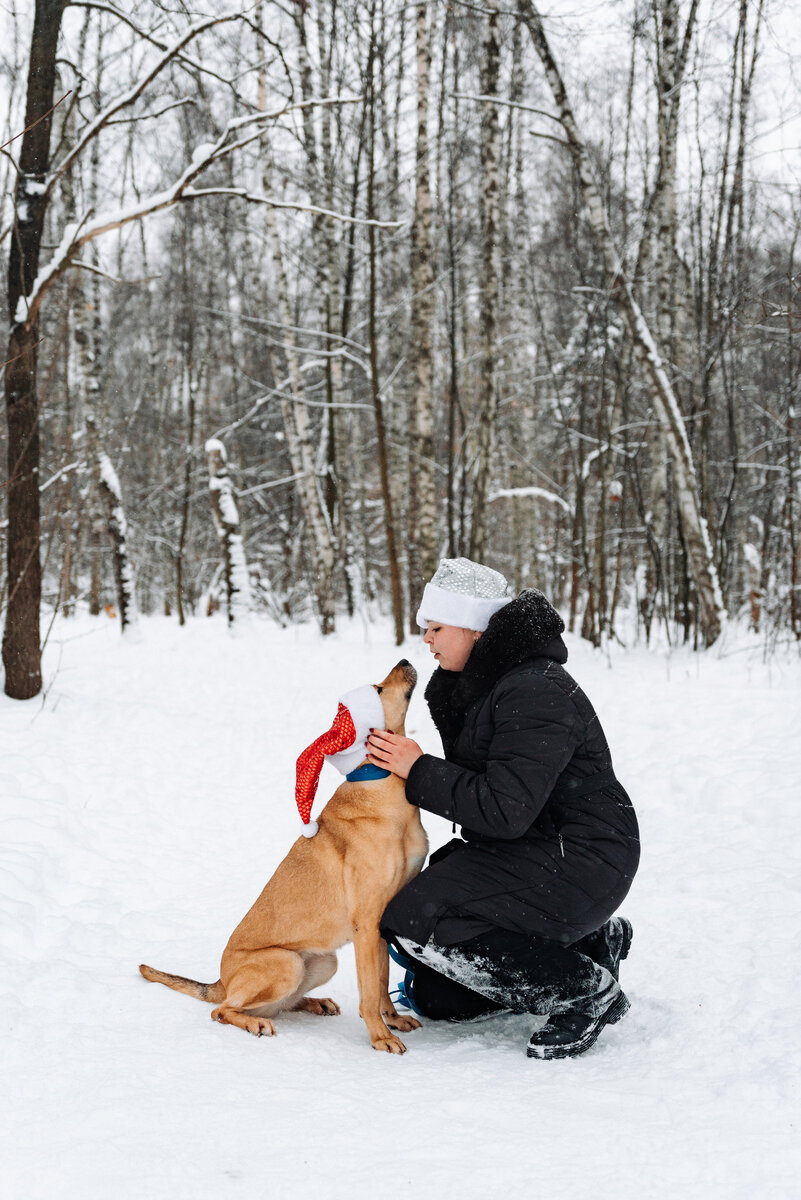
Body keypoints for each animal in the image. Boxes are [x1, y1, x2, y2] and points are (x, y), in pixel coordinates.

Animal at [140, 662, 429, 1056]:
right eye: (379, 689)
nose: (405, 662)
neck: (384, 784)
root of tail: (221, 980)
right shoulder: (367, 924)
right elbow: (370, 992)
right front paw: (380, 1036)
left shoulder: (382, 923)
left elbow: (383, 982)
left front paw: (394, 1020)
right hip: (286, 962)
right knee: (223, 1010)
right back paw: (255, 1023)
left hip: (323, 961)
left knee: (279, 1003)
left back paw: (314, 1003)